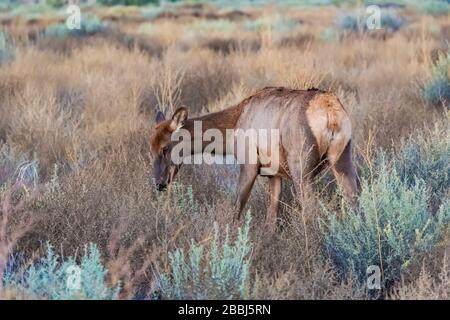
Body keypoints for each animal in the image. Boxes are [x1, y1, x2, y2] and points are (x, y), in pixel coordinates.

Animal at [149, 86, 356, 231]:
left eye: (165, 148)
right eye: (150, 148)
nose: (159, 183)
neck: (232, 129)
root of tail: (331, 114)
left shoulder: (249, 164)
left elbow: (237, 209)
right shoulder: (274, 174)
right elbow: (271, 220)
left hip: (301, 168)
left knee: (311, 208)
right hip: (343, 160)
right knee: (354, 199)